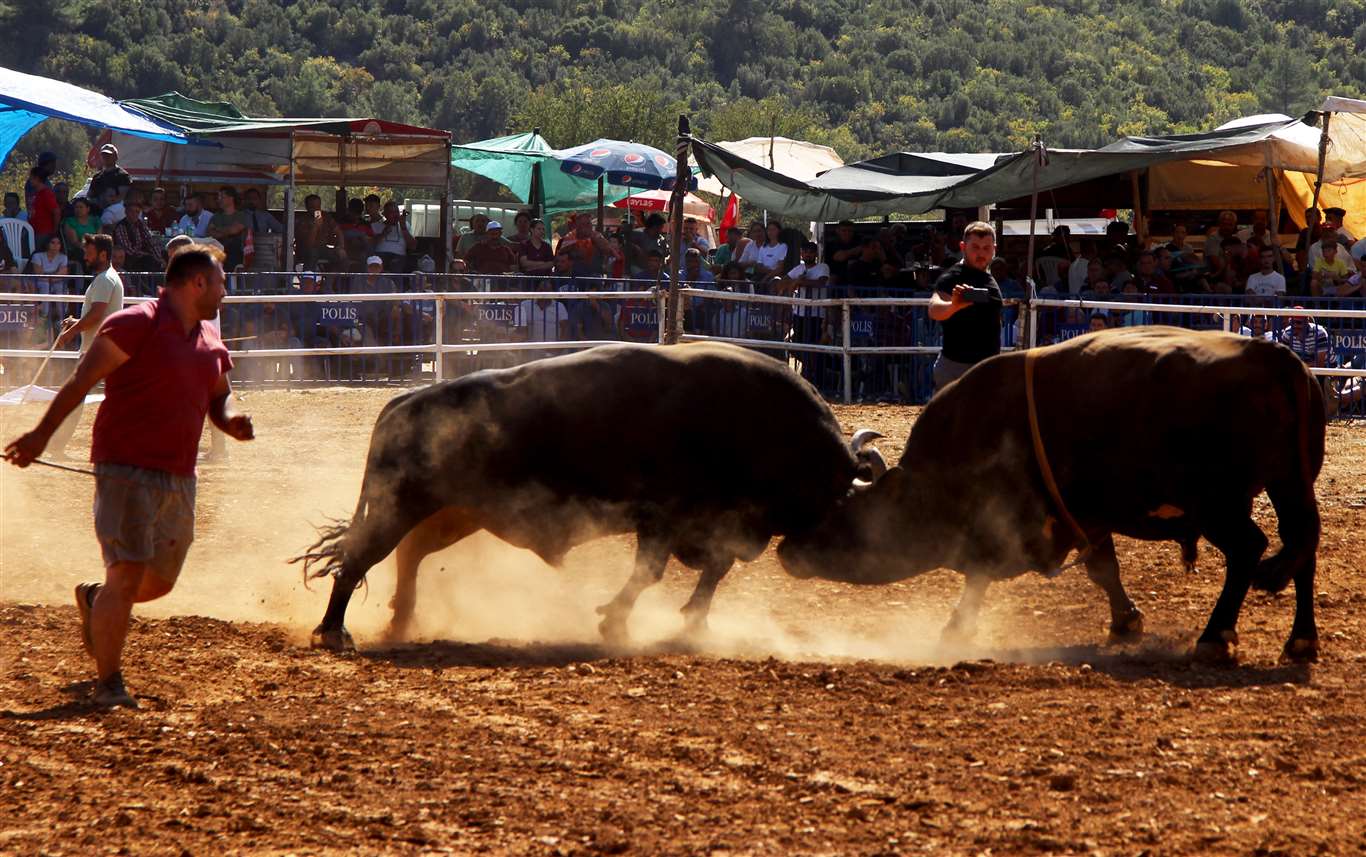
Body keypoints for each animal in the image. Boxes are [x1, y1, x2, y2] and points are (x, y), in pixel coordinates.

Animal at [781, 328, 1322, 664]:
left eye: (838, 512)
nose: (786, 550)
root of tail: (1274, 357)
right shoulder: (1087, 516)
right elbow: (1104, 569)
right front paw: (1125, 621)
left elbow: (978, 577)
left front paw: (955, 629)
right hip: (1290, 486)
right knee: (1303, 549)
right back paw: (1301, 640)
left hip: (1218, 505)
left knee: (1251, 549)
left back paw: (1214, 637)